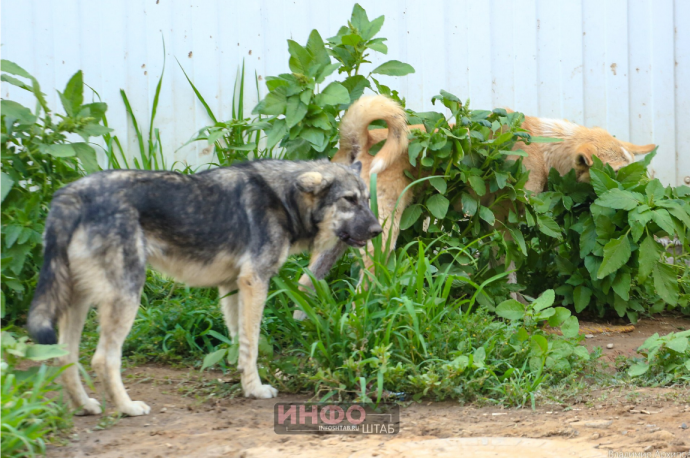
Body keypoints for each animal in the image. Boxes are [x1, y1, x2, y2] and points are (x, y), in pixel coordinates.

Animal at [28, 159, 382, 416]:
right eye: (348, 200)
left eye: (367, 200)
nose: (378, 230)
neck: (284, 200)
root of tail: (71, 195)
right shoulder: (255, 282)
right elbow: (253, 341)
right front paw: (257, 389)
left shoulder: (233, 288)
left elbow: (243, 342)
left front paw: (247, 384)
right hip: (126, 297)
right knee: (103, 359)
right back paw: (128, 408)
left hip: (79, 302)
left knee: (65, 355)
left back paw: (84, 406)